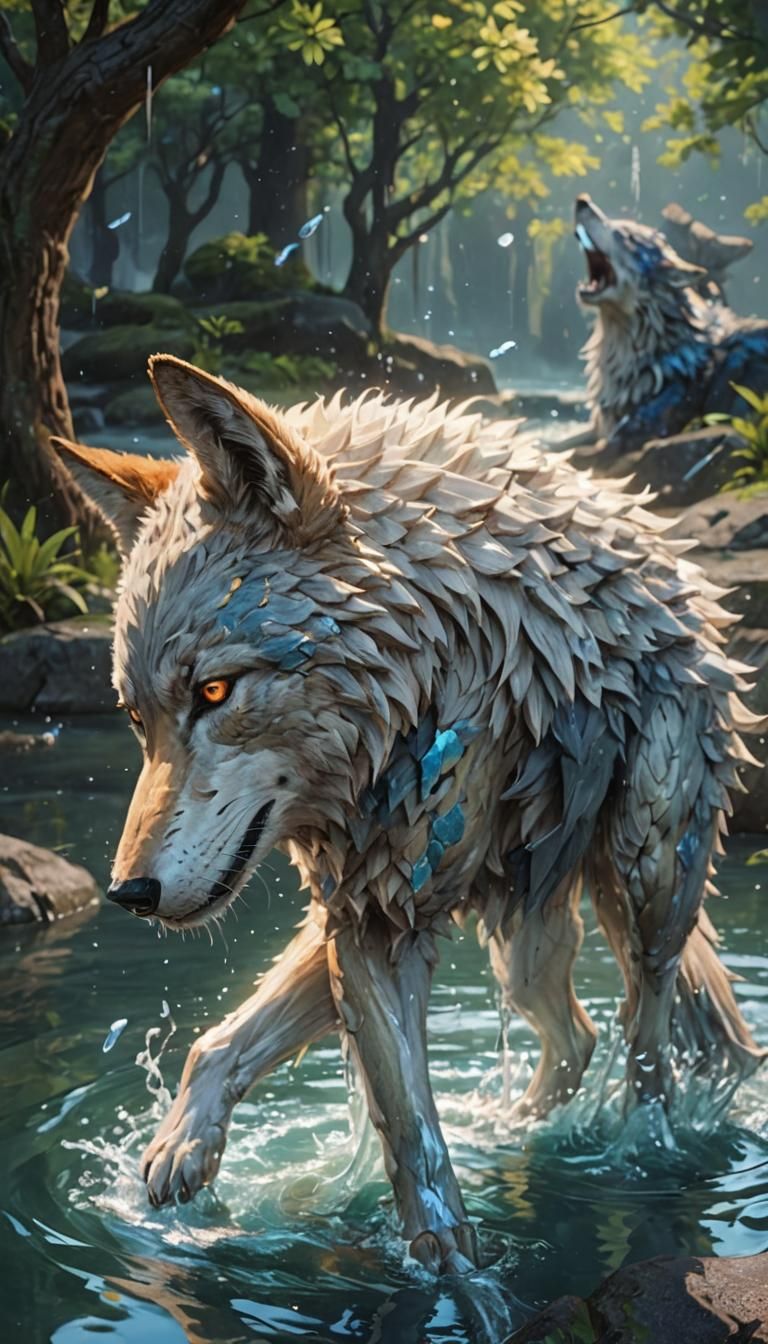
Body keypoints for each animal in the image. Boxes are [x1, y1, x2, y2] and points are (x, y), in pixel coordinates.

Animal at [54, 356, 765, 1274]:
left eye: (213, 693)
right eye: (135, 717)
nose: (128, 894)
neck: (417, 676)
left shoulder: (383, 896)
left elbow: (413, 1139)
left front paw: (458, 1271)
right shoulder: (372, 908)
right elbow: (400, 1118)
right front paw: (440, 1249)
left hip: (646, 873)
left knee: (646, 1043)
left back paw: (634, 1151)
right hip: (510, 935)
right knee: (573, 1036)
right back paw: (514, 1133)